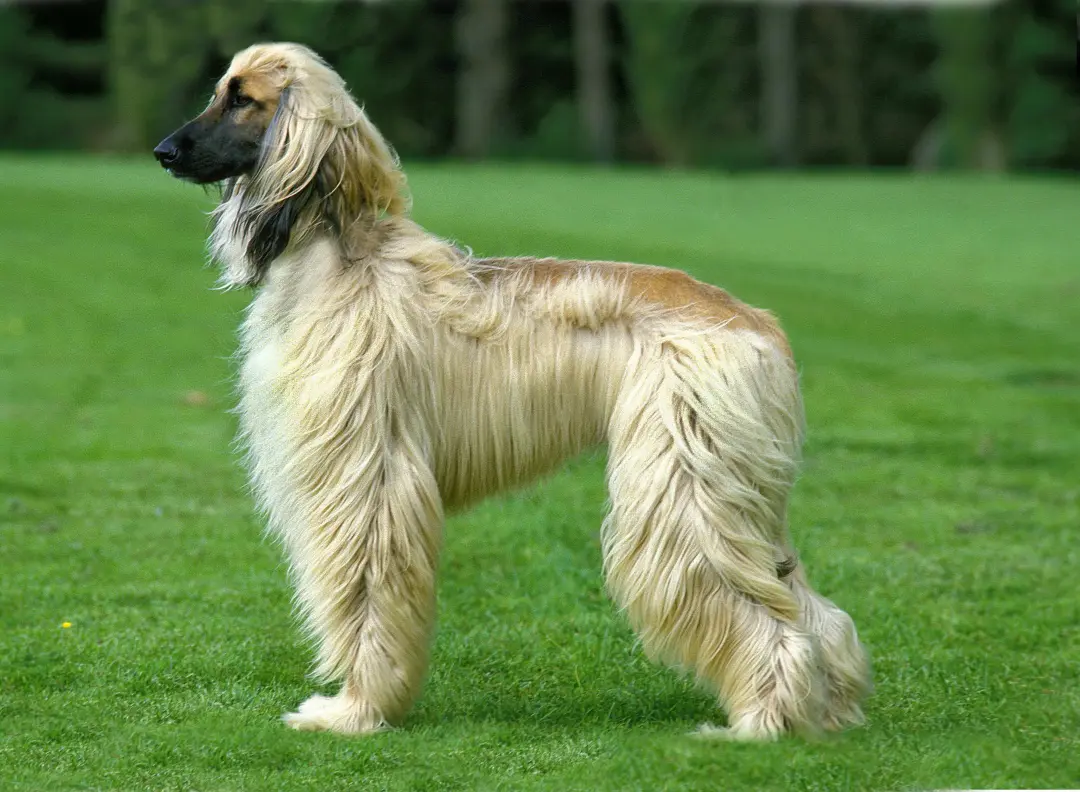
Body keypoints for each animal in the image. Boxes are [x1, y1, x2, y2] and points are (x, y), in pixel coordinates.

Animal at [156, 41, 872, 734]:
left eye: (242, 99)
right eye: (220, 91)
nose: (163, 151)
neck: (340, 253)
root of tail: (761, 326)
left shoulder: (367, 468)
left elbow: (367, 583)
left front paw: (356, 709)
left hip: (685, 477)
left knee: (756, 605)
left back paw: (761, 724)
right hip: (737, 482)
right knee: (807, 603)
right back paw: (828, 710)